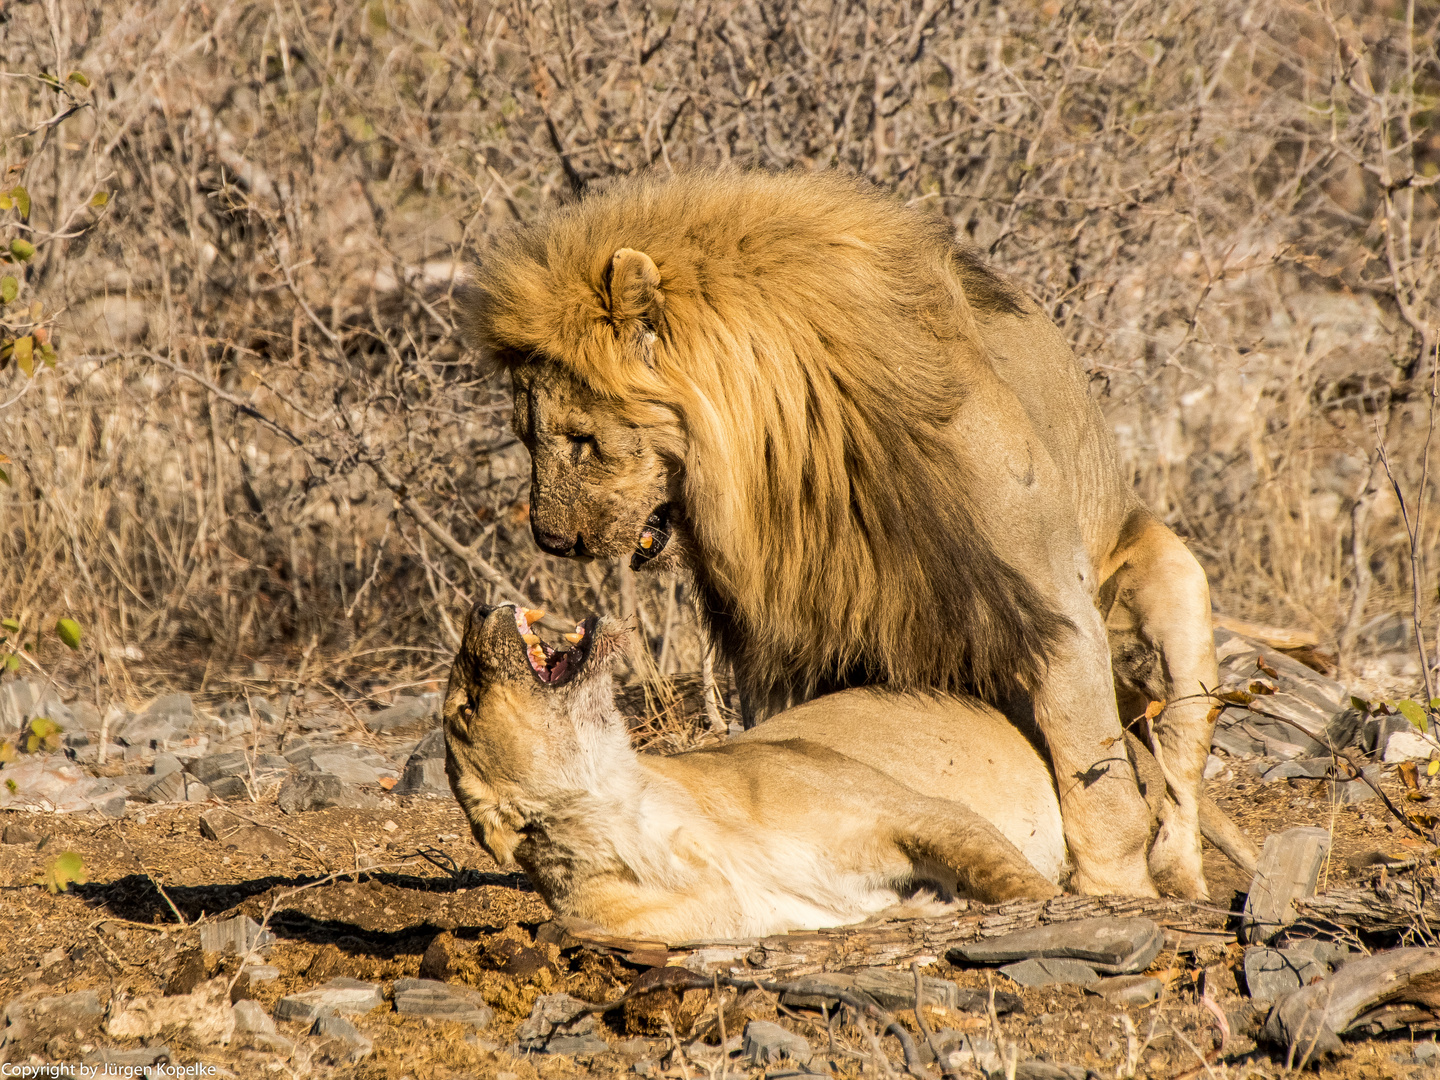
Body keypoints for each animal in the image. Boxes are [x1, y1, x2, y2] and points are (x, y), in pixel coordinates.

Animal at [457, 173, 1215, 898]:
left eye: (581, 440)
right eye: (526, 438)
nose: (554, 542)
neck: (790, 468)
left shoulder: (1052, 600)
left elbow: (1096, 772)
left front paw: (1119, 893)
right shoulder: (790, 637)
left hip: (1176, 591)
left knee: (1178, 777)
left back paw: (1181, 874)